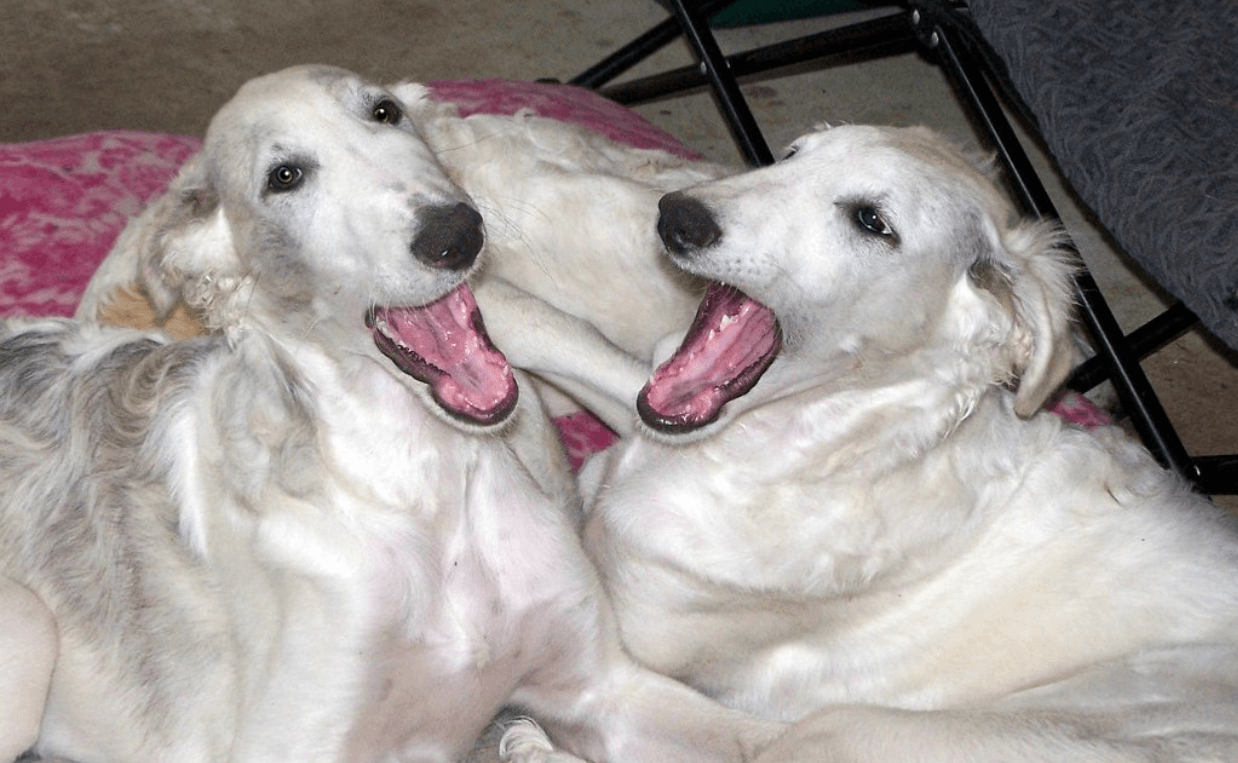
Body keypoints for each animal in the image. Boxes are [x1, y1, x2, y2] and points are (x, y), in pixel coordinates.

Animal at [0, 64, 787, 763]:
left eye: (383, 112)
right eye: (283, 176)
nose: (456, 233)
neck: (426, 486)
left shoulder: (603, 686)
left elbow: (789, 737)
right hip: (29, 628)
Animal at [559, 122, 1238, 758]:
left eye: (872, 222)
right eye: (792, 155)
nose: (675, 216)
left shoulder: (631, 625)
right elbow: (564, 334)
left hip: (843, 729)